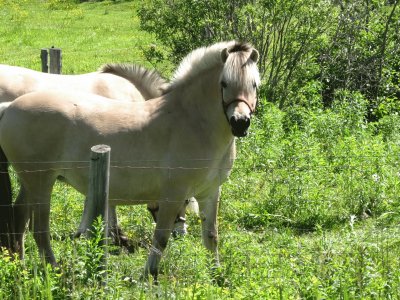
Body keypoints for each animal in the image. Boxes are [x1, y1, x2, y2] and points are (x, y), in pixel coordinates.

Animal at [0, 41, 260, 280]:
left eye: (254, 84)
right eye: (224, 83)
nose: (240, 122)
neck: (189, 121)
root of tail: (9, 106)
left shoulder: (210, 192)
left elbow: (211, 236)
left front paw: (217, 275)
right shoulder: (173, 195)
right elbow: (161, 237)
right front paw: (149, 274)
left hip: (30, 183)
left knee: (19, 218)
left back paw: (20, 266)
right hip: (41, 182)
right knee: (39, 230)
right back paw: (54, 269)